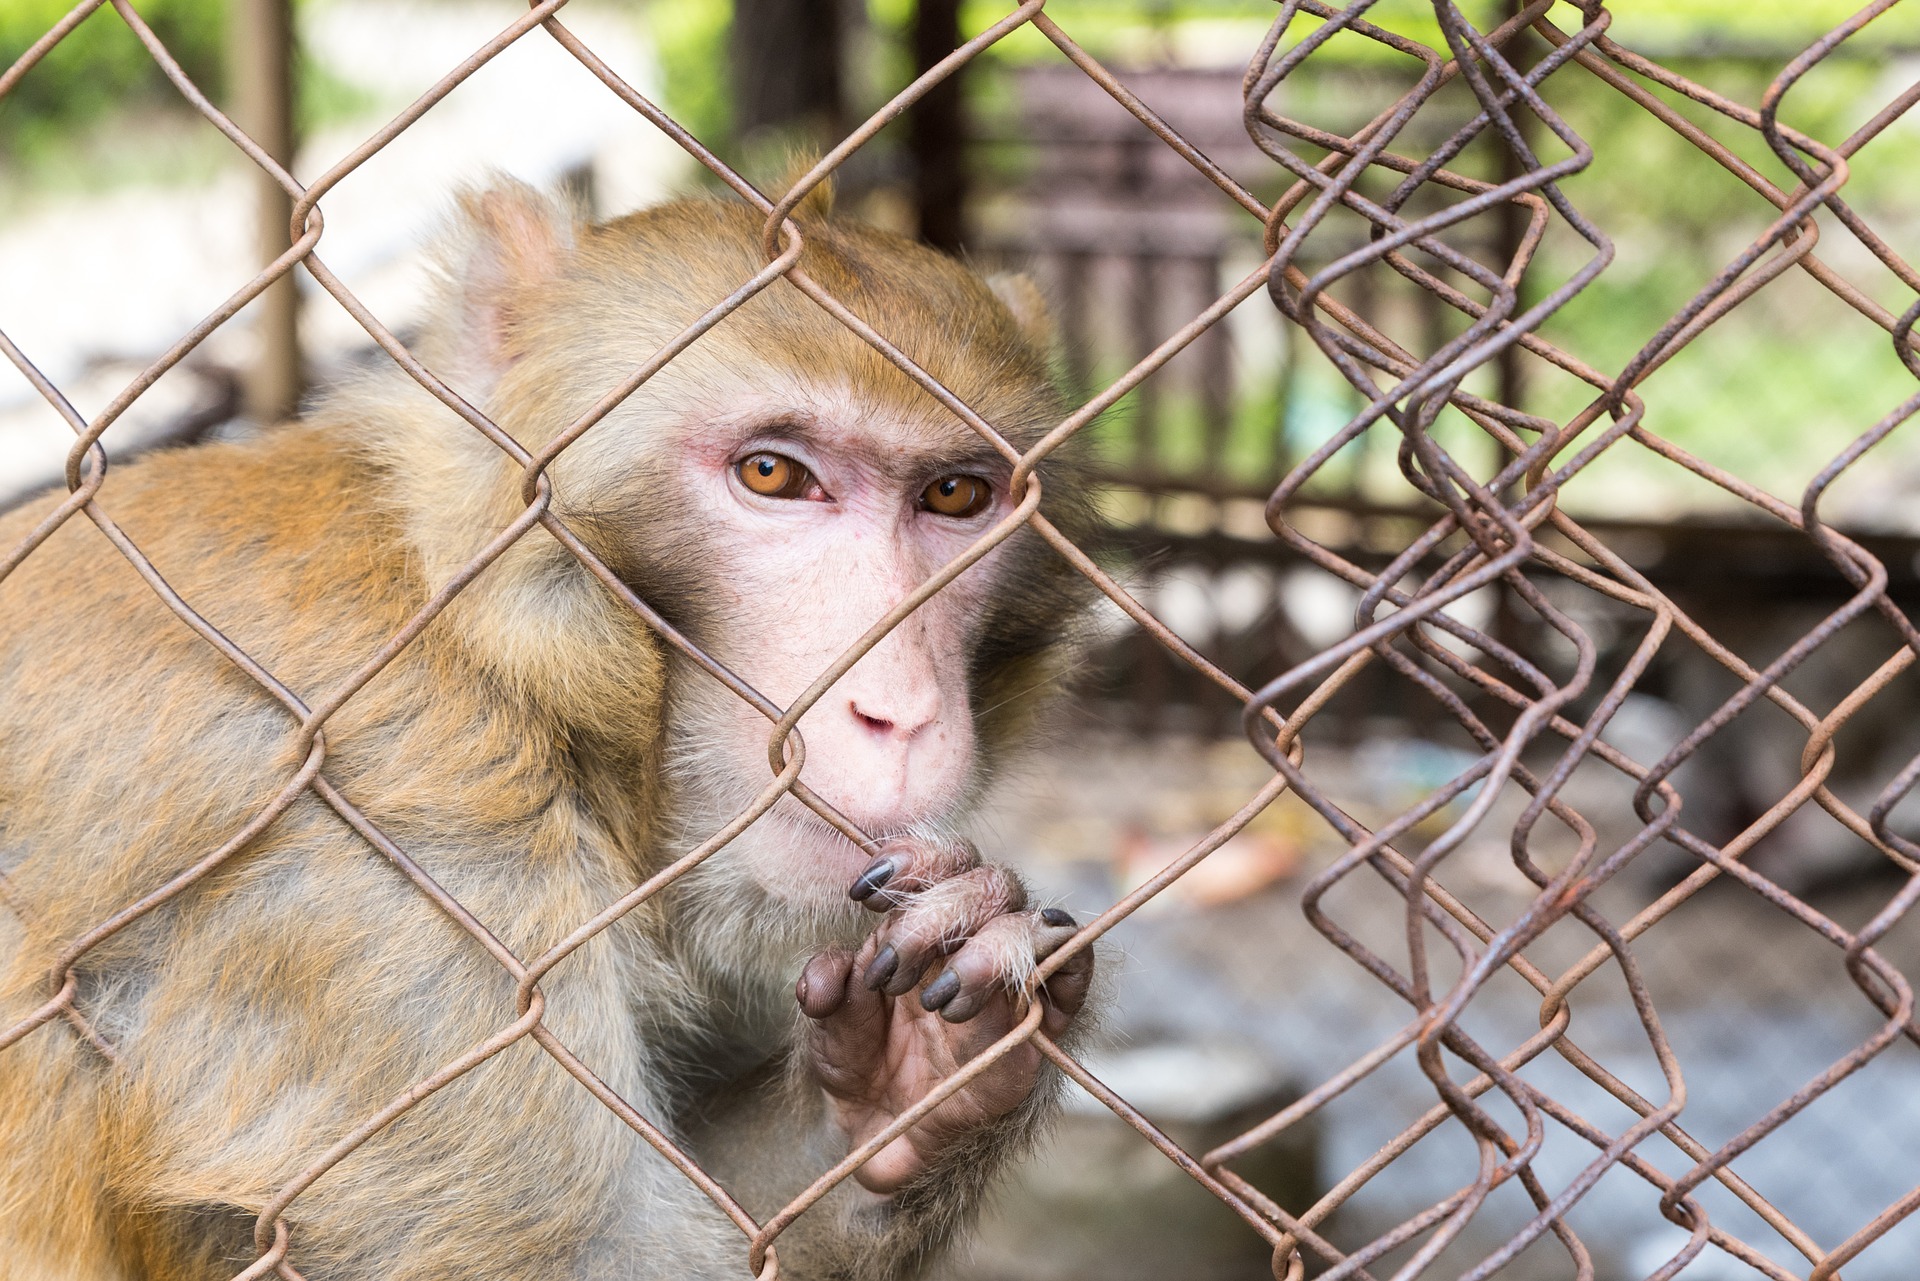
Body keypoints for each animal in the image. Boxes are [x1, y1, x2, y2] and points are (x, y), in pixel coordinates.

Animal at [0, 182, 1098, 1281]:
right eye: (773, 475)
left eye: (954, 494)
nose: (900, 711)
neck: (503, 651)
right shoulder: (392, 843)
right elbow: (594, 1252)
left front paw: (910, 1083)